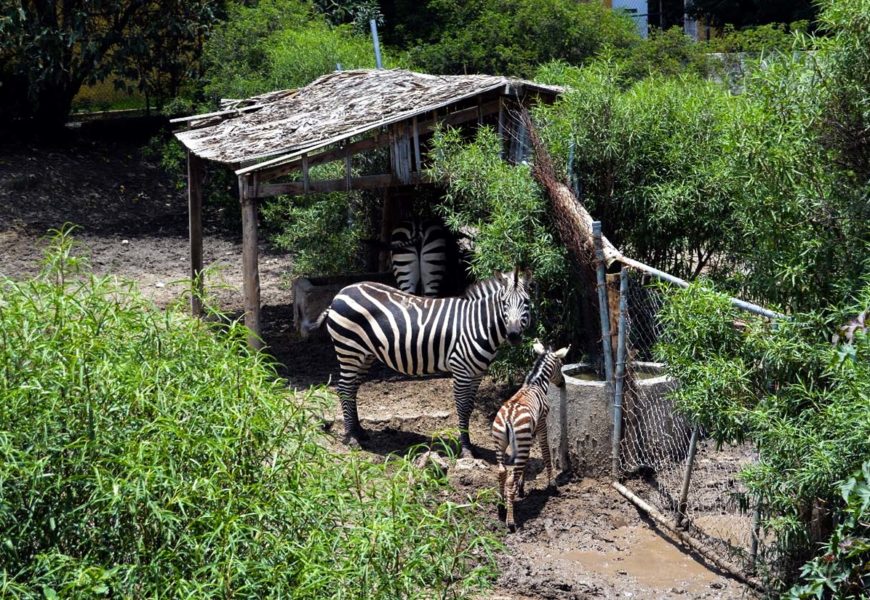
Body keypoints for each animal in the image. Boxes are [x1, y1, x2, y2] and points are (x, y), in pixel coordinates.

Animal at [310, 270, 536, 458]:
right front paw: (466, 449)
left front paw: (469, 445)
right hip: (349, 350)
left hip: (365, 354)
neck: (477, 325)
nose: (514, 335)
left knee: (353, 389)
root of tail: (341, 293)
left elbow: (471, 407)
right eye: (504, 303)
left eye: (526, 302)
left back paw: (360, 432)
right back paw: (352, 438)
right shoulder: (461, 369)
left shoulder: (476, 373)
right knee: (344, 388)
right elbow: (463, 408)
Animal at [494, 340, 568, 532]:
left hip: (501, 442)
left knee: (502, 471)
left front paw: (522, 488)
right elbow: (546, 453)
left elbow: (526, 462)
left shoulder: (528, 435)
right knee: (509, 480)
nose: (563, 383)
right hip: (520, 439)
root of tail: (508, 417)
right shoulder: (541, 424)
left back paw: (501, 506)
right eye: (561, 365)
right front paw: (552, 484)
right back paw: (511, 522)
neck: (535, 384)